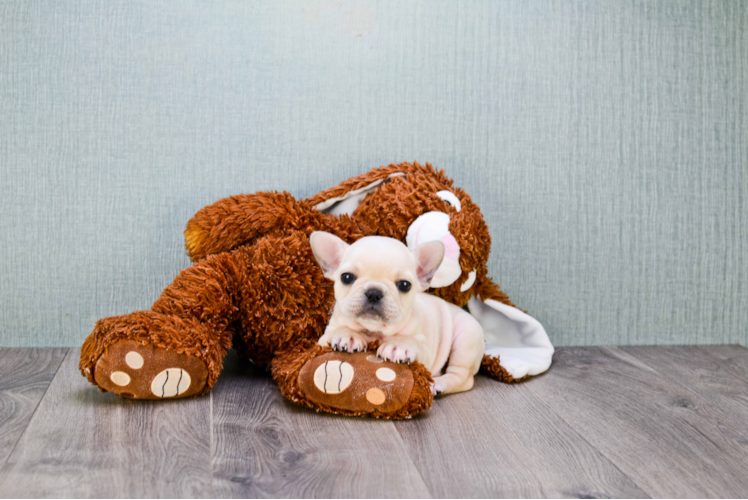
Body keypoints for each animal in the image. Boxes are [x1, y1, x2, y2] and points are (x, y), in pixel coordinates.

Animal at [310, 232, 486, 396]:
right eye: (346, 277)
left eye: (404, 285)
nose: (374, 292)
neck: (374, 331)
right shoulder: (325, 337)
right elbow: (338, 331)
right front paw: (348, 335)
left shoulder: (425, 351)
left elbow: (411, 341)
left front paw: (399, 345)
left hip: (466, 338)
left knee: (462, 376)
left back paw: (439, 384)